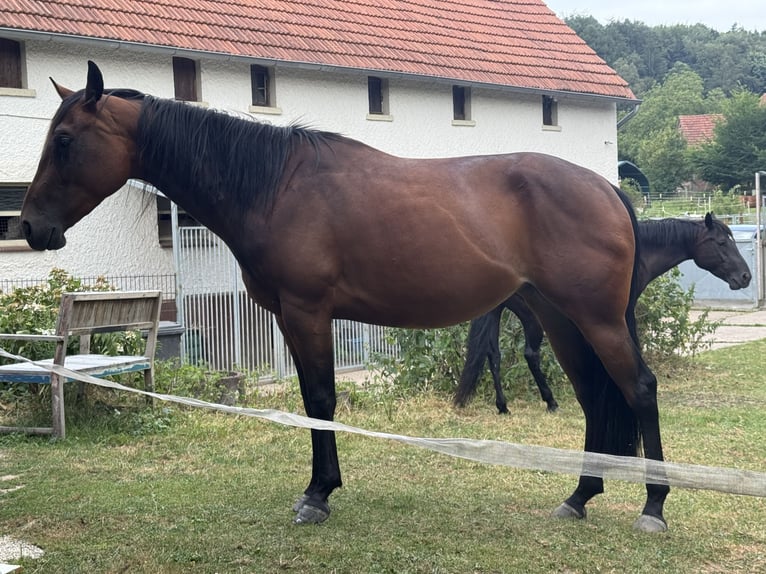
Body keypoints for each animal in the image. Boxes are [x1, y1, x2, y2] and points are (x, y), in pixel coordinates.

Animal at [22, 61, 669, 531]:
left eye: (65, 140)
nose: (30, 227)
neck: (276, 187)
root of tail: (605, 187)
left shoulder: (309, 312)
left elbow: (321, 399)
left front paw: (317, 494)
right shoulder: (292, 318)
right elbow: (314, 401)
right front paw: (321, 488)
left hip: (595, 318)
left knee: (637, 388)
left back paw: (654, 506)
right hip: (559, 317)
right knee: (593, 397)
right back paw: (580, 496)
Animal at [455, 214, 752, 414]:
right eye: (722, 243)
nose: (745, 276)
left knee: (493, 354)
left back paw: (504, 406)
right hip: (531, 317)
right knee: (529, 353)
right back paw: (549, 401)